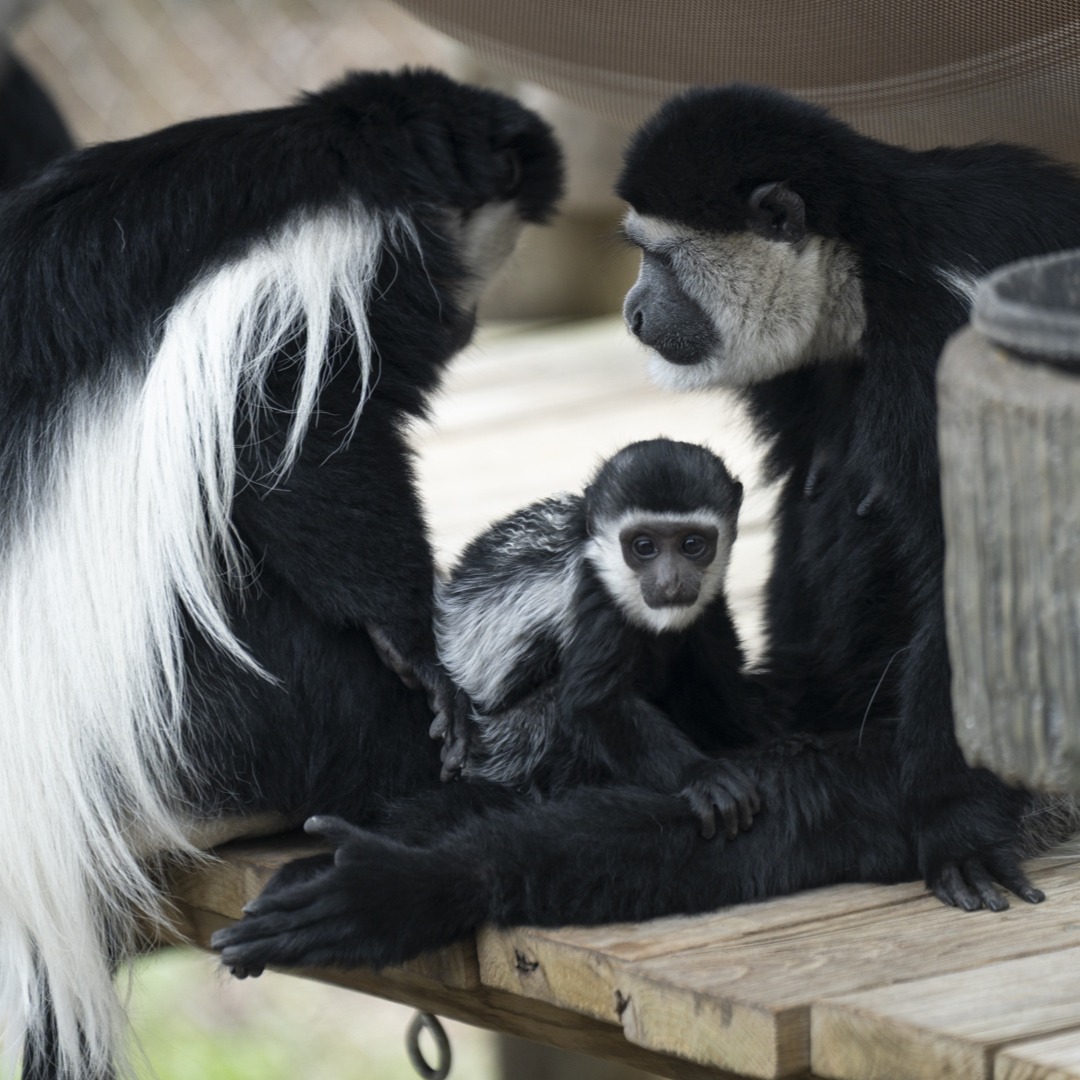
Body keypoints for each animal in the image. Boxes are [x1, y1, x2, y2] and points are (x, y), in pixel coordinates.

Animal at [0, 68, 561, 1080]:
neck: (351, 156)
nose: (466, 321)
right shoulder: (335, 276)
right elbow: (297, 450)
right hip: (212, 713)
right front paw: (426, 654)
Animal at [436, 438, 762, 839]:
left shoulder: (708, 604)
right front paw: (702, 775)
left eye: (692, 544)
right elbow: (595, 703)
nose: (670, 582)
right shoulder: (596, 597)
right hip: (508, 741)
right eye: (644, 546)